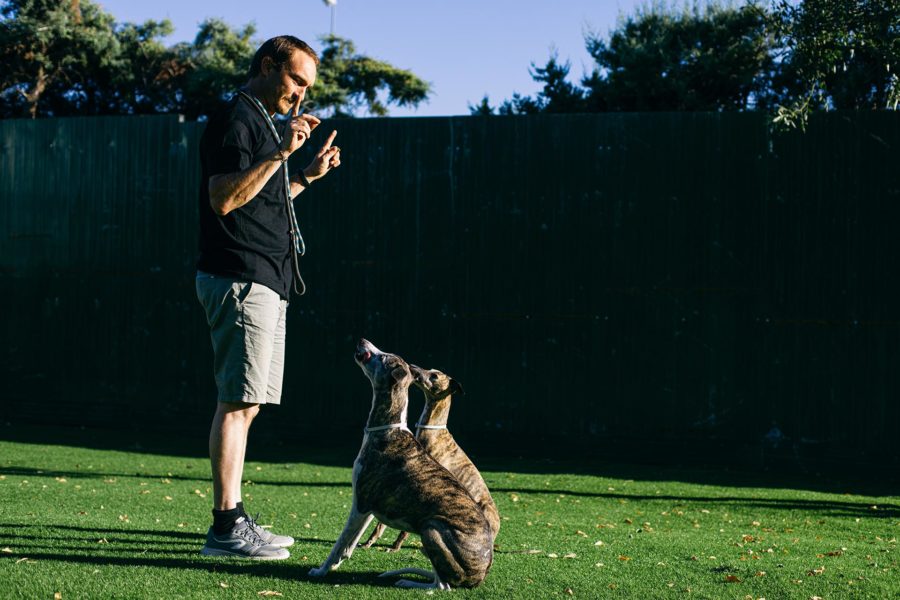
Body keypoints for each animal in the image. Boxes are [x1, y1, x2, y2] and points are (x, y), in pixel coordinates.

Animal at [358, 364, 500, 552]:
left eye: (434, 376)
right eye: (431, 369)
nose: (413, 367)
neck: (433, 432)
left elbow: (403, 529)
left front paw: (395, 546)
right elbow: (381, 523)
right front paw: (369, 542)